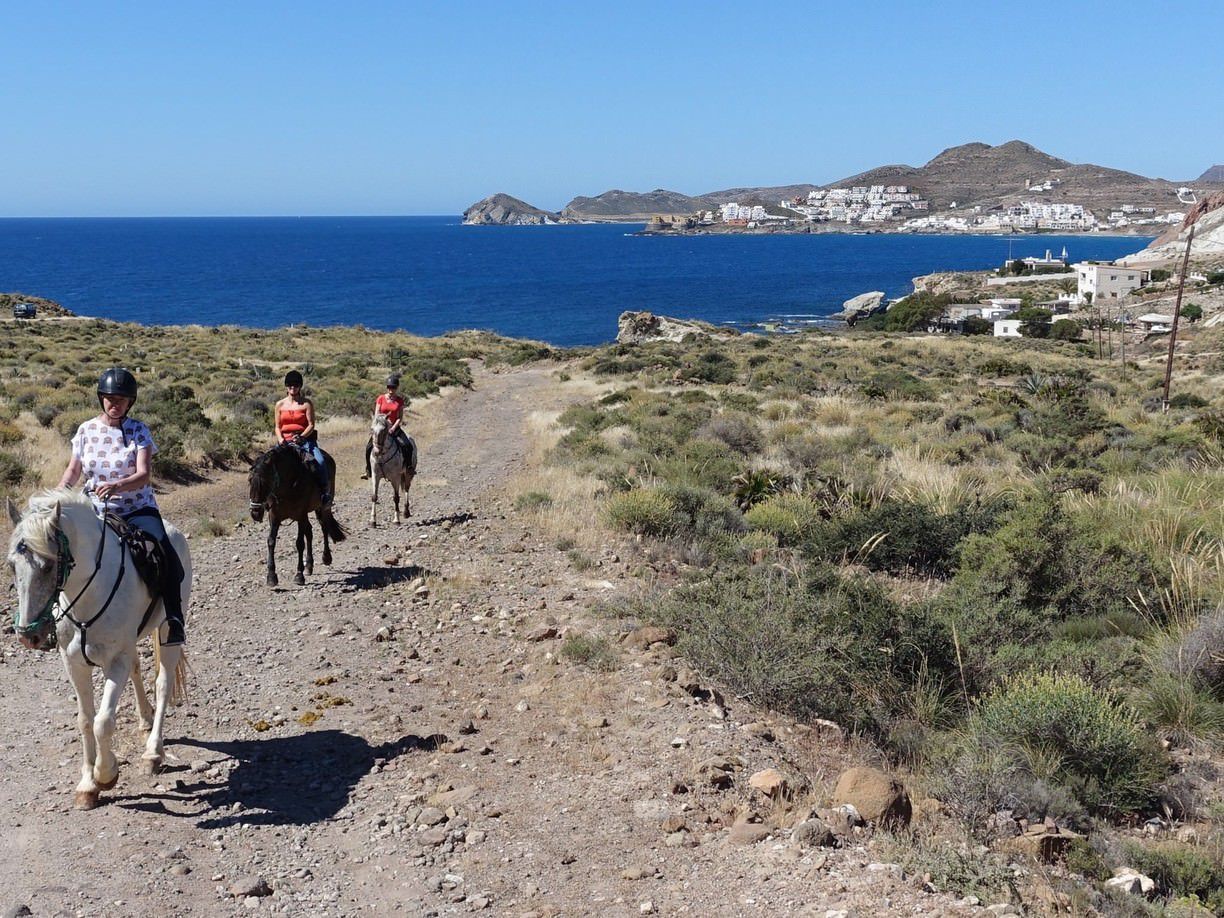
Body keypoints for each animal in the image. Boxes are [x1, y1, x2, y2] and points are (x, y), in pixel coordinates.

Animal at [6, 492, 190, 807]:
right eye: (11, 565)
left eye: (49, 565)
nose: (29, 635)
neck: (88, 594)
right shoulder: (74, 663)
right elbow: (85, 720)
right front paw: (87, 784)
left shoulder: (116, 661)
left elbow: (103, 722)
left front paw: (106, 775)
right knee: (138, 668)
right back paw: (144, 719)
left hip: (168, 633)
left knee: (163, 684)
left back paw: (153, 752)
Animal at [247, 445, 347, 589]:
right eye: (249, 480)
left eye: (266, 481)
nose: (255, 512)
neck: (287, 487)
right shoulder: (274, 517)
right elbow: (271, 541)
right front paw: (271, 577)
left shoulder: (300, 515)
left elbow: (299, 543)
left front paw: (299, 575)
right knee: (309, 533)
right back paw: (309, 566)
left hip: (322, 507)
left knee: (323, 527)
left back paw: (326, 557)